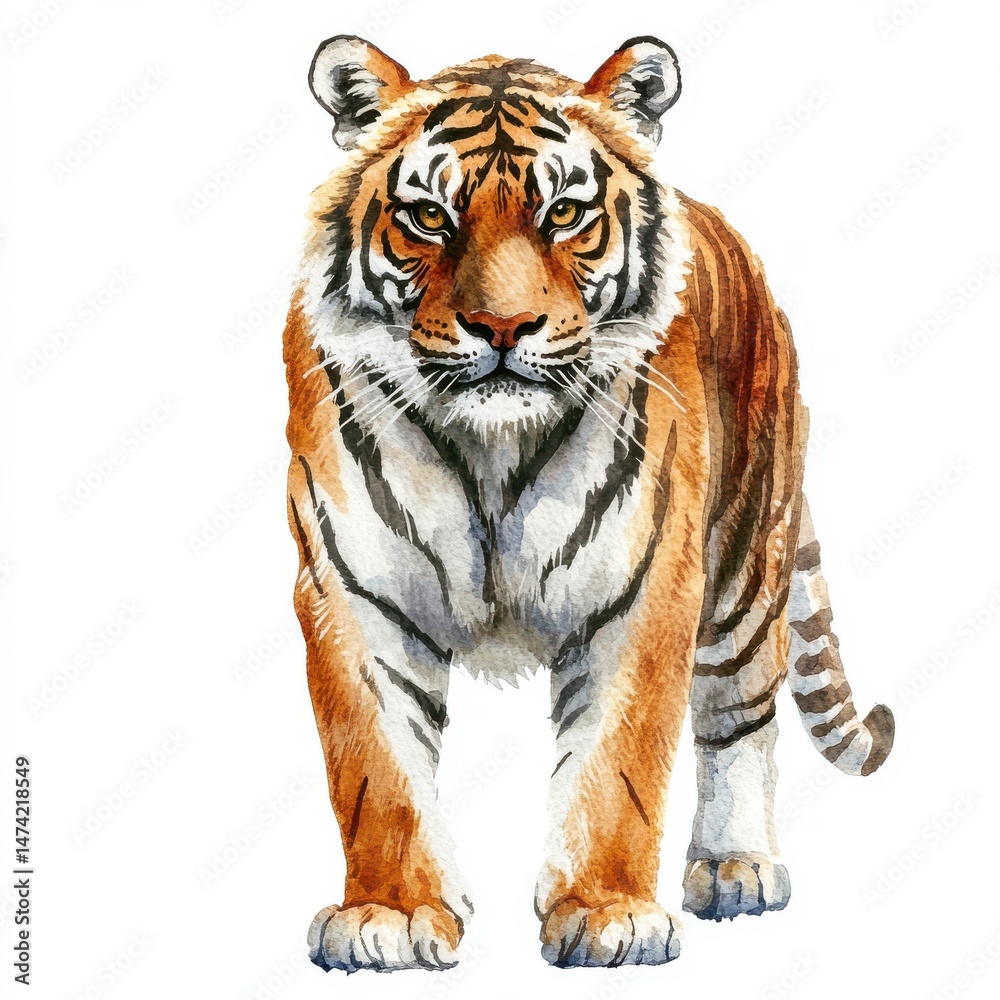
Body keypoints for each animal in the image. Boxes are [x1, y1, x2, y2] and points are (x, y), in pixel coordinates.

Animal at [283, 34, 895, 972]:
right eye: (430, 218)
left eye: (564, 214)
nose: (503, 328)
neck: (490, 451)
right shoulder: (354, 594)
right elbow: (377, 771)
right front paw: (389, 914)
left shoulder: (643, 589)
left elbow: (618, 768)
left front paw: (610, 917)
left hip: (746, 562)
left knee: (742, 714)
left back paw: (737, 868)